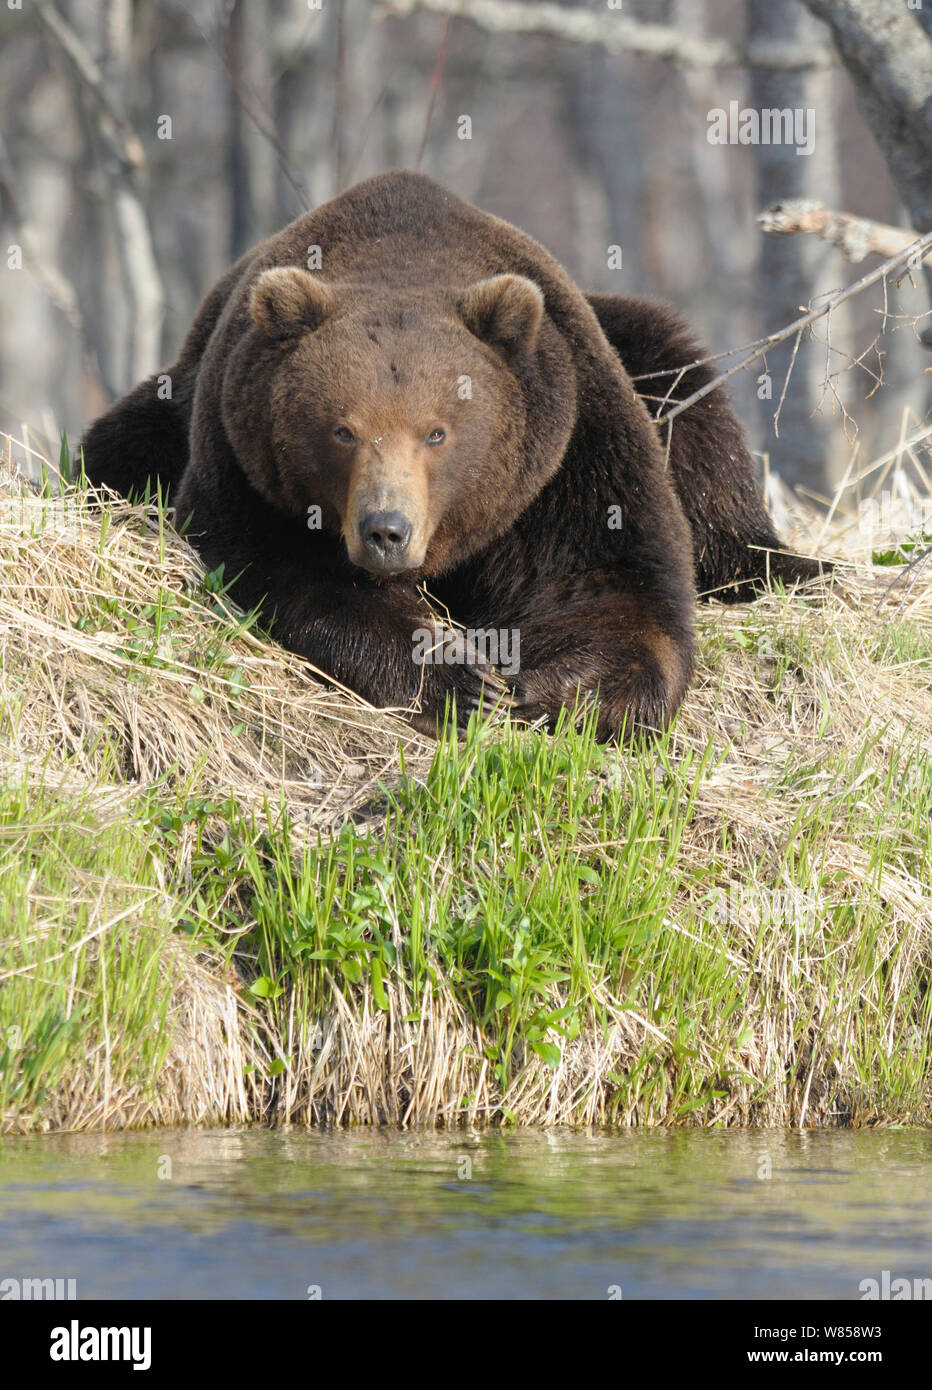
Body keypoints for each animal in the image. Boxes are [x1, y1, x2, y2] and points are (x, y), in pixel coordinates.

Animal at [80, 170, 827, 741]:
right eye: (343, 430)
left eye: (436, 433)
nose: (386, 530)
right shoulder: (245, 460)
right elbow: (291, 571)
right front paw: (458, 678)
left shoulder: (569, 452)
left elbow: (612, 584)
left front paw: (537, 687)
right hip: (166, 408)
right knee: (111, 449)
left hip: (644, 361)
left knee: (691, 403)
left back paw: (792, 567)